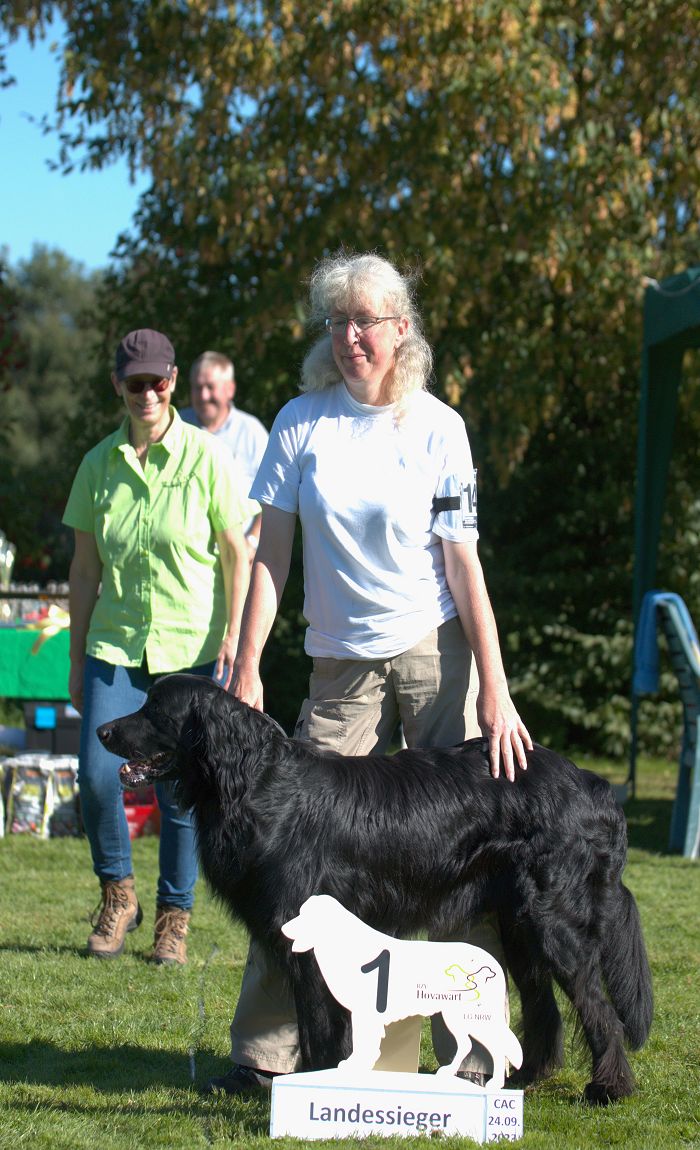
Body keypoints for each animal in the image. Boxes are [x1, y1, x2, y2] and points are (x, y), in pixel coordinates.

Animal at [97, 671, 648, 1104]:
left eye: (154, 711)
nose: (102, 729)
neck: (255, 782)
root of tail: (594, 785)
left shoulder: (310, 950)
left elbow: (321, 1031)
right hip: (518, 926)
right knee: (543, 1008)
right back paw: (523, 1079)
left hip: (554, 923)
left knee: (599, 1010)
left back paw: (608, 1088)